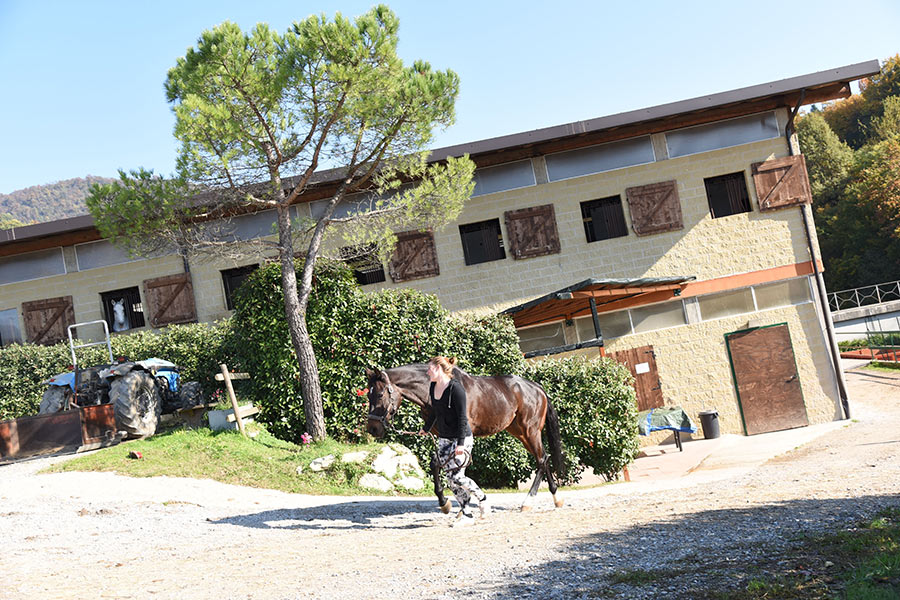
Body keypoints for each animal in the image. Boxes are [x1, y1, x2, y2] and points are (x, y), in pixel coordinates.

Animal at [365, 363, 565, 512]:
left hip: (530, 431)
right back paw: (556, 497)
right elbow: (436, 463)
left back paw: (527, 502)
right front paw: (444, 502)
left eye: (380, 394)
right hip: (520, 433)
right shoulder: (443, 436)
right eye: (368, 394)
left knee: (541, 460)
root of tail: (537, 388)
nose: (372, 429)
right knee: (544, 458)